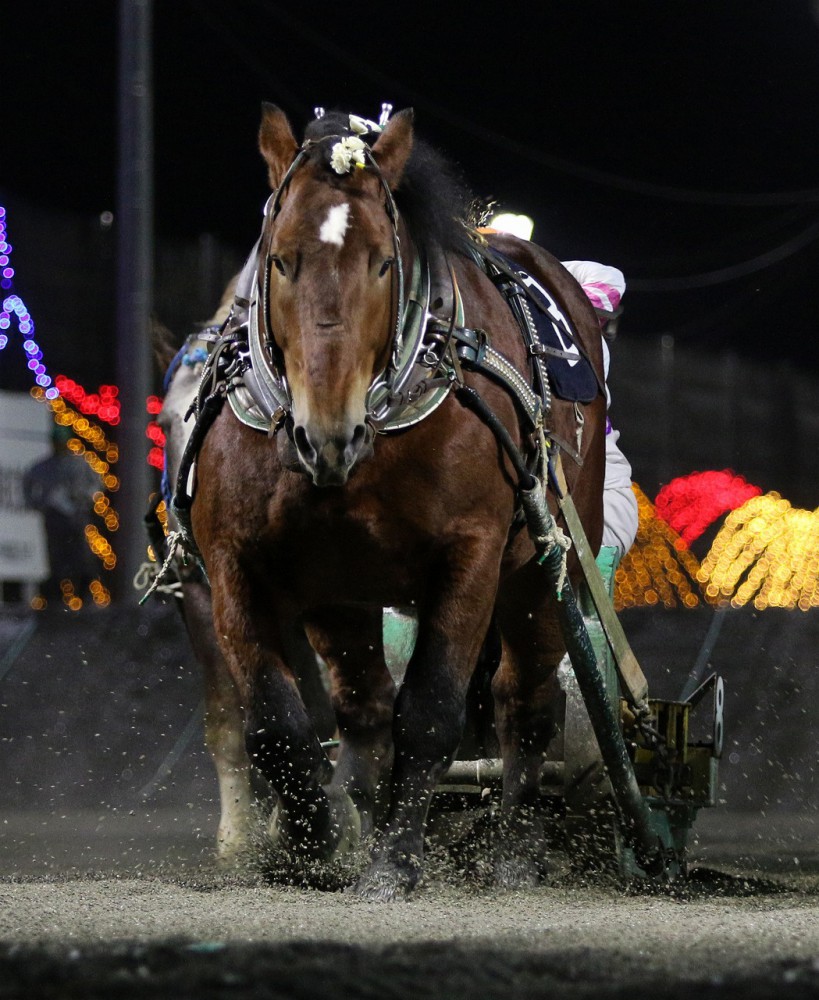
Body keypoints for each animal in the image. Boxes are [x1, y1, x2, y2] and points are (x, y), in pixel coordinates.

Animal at [189, 105, 604, 904]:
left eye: (383, 262)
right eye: (279, 259)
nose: (328, 431)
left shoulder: (471, 554)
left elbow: (434, 708)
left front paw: (396, 860)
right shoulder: (237, 562)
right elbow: (275, 722)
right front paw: (314, 840)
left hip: (546, 565)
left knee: (527, 700)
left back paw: (516, 848)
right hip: (342, 589)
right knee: (363, 708)